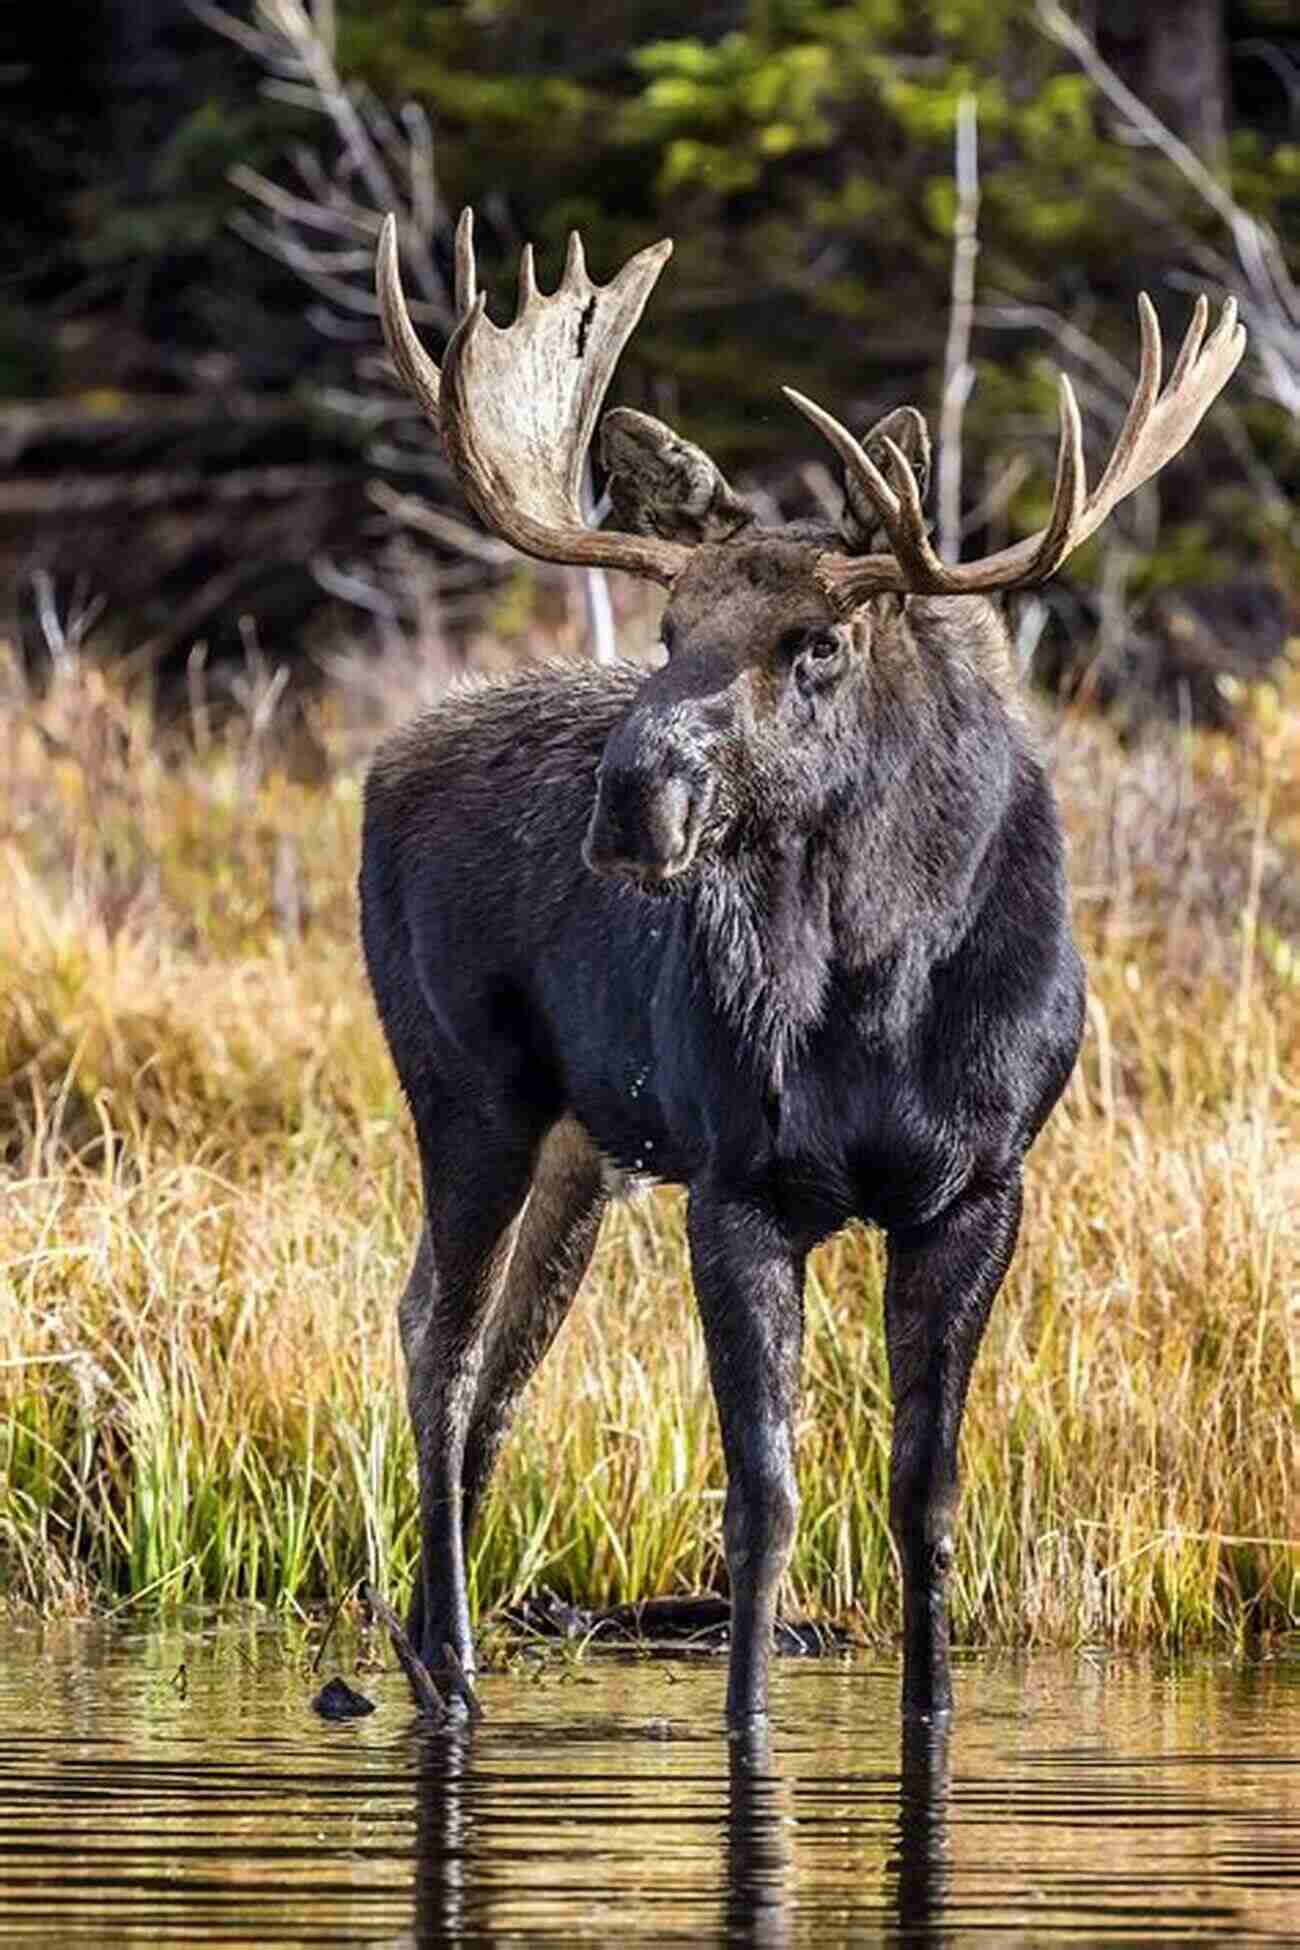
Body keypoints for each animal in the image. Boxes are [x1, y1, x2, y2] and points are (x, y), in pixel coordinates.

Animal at [360, 213, 1247, 1723]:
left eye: (816, 641)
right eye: (668, 634)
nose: (631, 798)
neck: (884, 992)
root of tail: (380, 763)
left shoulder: (981, 1184)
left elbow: (925, 1493)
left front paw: (931, 1711)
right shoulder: (739, 1183)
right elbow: (762, 1498)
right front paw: (748, 1723)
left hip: (586, 1148)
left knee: (495, 1353)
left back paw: (430, 1645)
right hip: (468, 1091)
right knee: (443, 1339)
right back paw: (454, 1666)